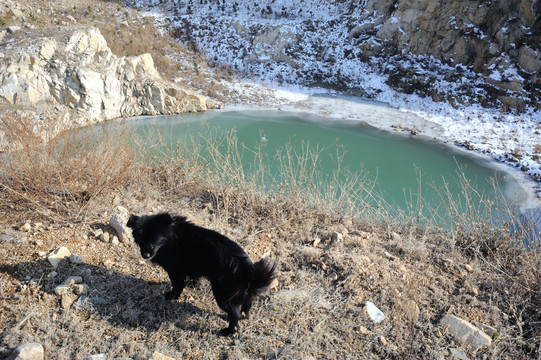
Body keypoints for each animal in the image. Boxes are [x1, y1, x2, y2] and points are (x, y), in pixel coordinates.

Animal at [127, 214, 276, 334]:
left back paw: (228, 331)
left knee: (234, 314)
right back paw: (245, 316)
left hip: (222, 294)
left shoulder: (175, 270)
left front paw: (172, 296)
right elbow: (193, 278)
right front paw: (192, 285)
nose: (145, 255)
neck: (171, 237)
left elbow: (177, 285)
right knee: (246, 303)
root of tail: (246, 269)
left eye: (153, 243)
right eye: (140, 241)